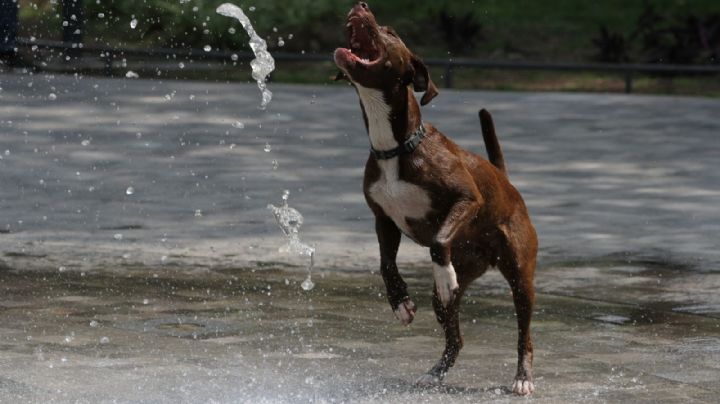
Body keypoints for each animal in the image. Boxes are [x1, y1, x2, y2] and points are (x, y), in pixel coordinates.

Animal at [334, 1, 536, 396]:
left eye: (391, 31)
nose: (361, 5)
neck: (396, 146)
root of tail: (507, 181)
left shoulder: (467, 199)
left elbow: (439, 240)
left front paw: (442, 273)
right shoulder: (383, 219)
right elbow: (386, 263)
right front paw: (399, 302)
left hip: (521, 276)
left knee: (526, 335)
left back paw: (522, 377)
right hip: (461, 281)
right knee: (456, 339)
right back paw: (434, 373)